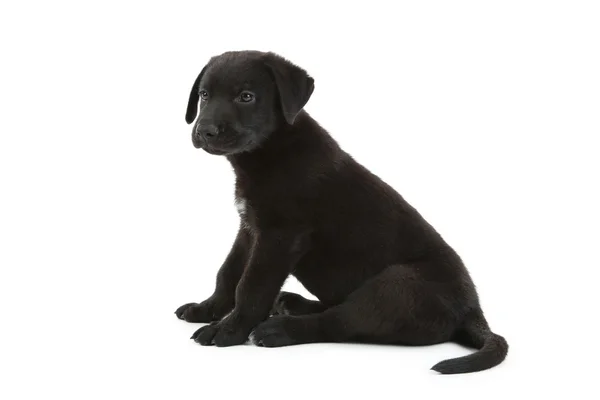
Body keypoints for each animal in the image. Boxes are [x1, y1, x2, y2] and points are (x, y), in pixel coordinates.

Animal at [173, 50, 506, 376]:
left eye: (246, 96)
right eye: (204, 95)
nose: (204, 131)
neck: (269, 153)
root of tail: (473, 311)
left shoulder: (279, 236)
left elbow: (252, 285)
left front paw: (229, 329)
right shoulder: (250, 228)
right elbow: (228, 272)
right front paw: (207, 309)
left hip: (398, 284)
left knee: (342, 321)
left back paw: (279, 328)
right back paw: (292, 303)